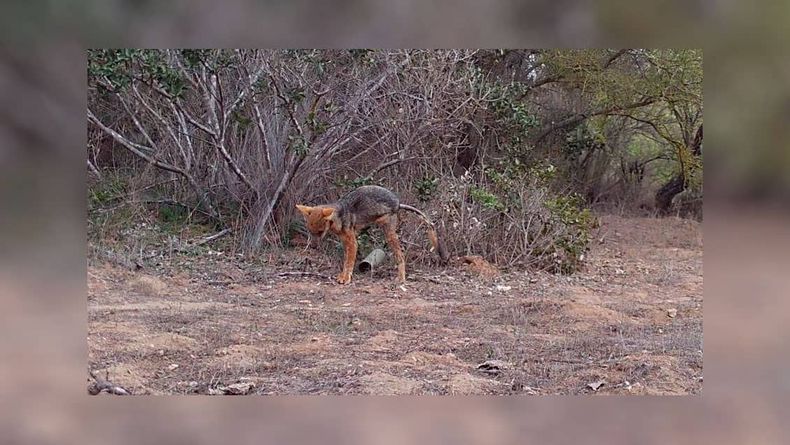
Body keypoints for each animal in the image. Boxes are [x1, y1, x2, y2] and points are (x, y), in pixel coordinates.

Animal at [296, 185, 449, 284]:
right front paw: (342, 276)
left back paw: (401, 278)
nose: (313, 247)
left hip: (388, 233)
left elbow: (349, 263)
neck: (338, 218)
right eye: (310, 232)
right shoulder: (345, 242)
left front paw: (346, 278)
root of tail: (398, 203)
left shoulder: (353, 243)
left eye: (320, 232)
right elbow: (345, 261)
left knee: (401, 256)